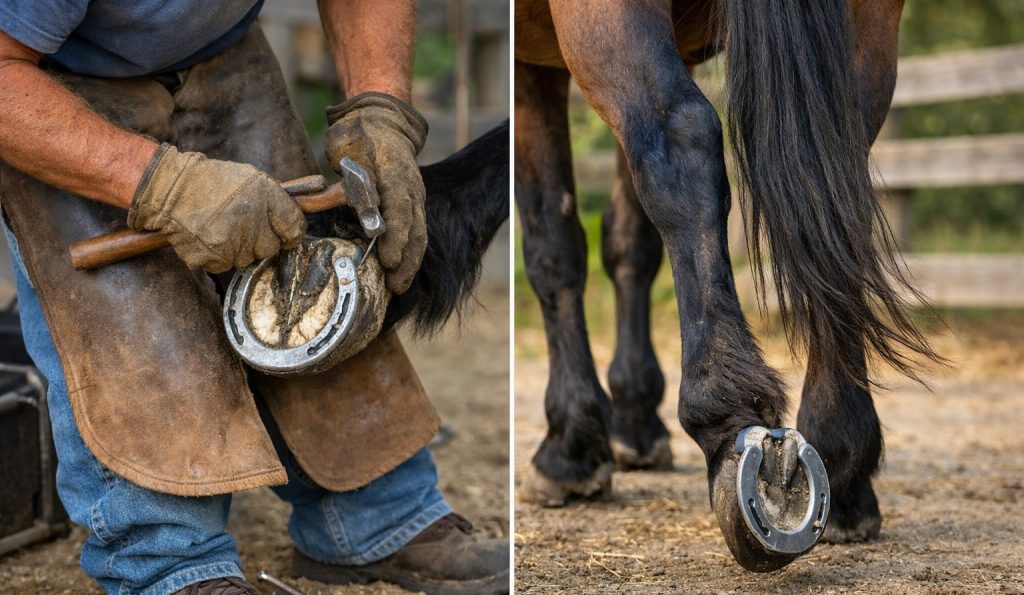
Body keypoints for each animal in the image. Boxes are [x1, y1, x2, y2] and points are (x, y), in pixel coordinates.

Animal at [514, 0, 940, 571]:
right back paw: (842, 469)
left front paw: (572, 445)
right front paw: (634, 418)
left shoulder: (531, 62)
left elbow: (552, 245)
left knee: (681, 135)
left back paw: (726, 419)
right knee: (839, 178)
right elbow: (630, 240)